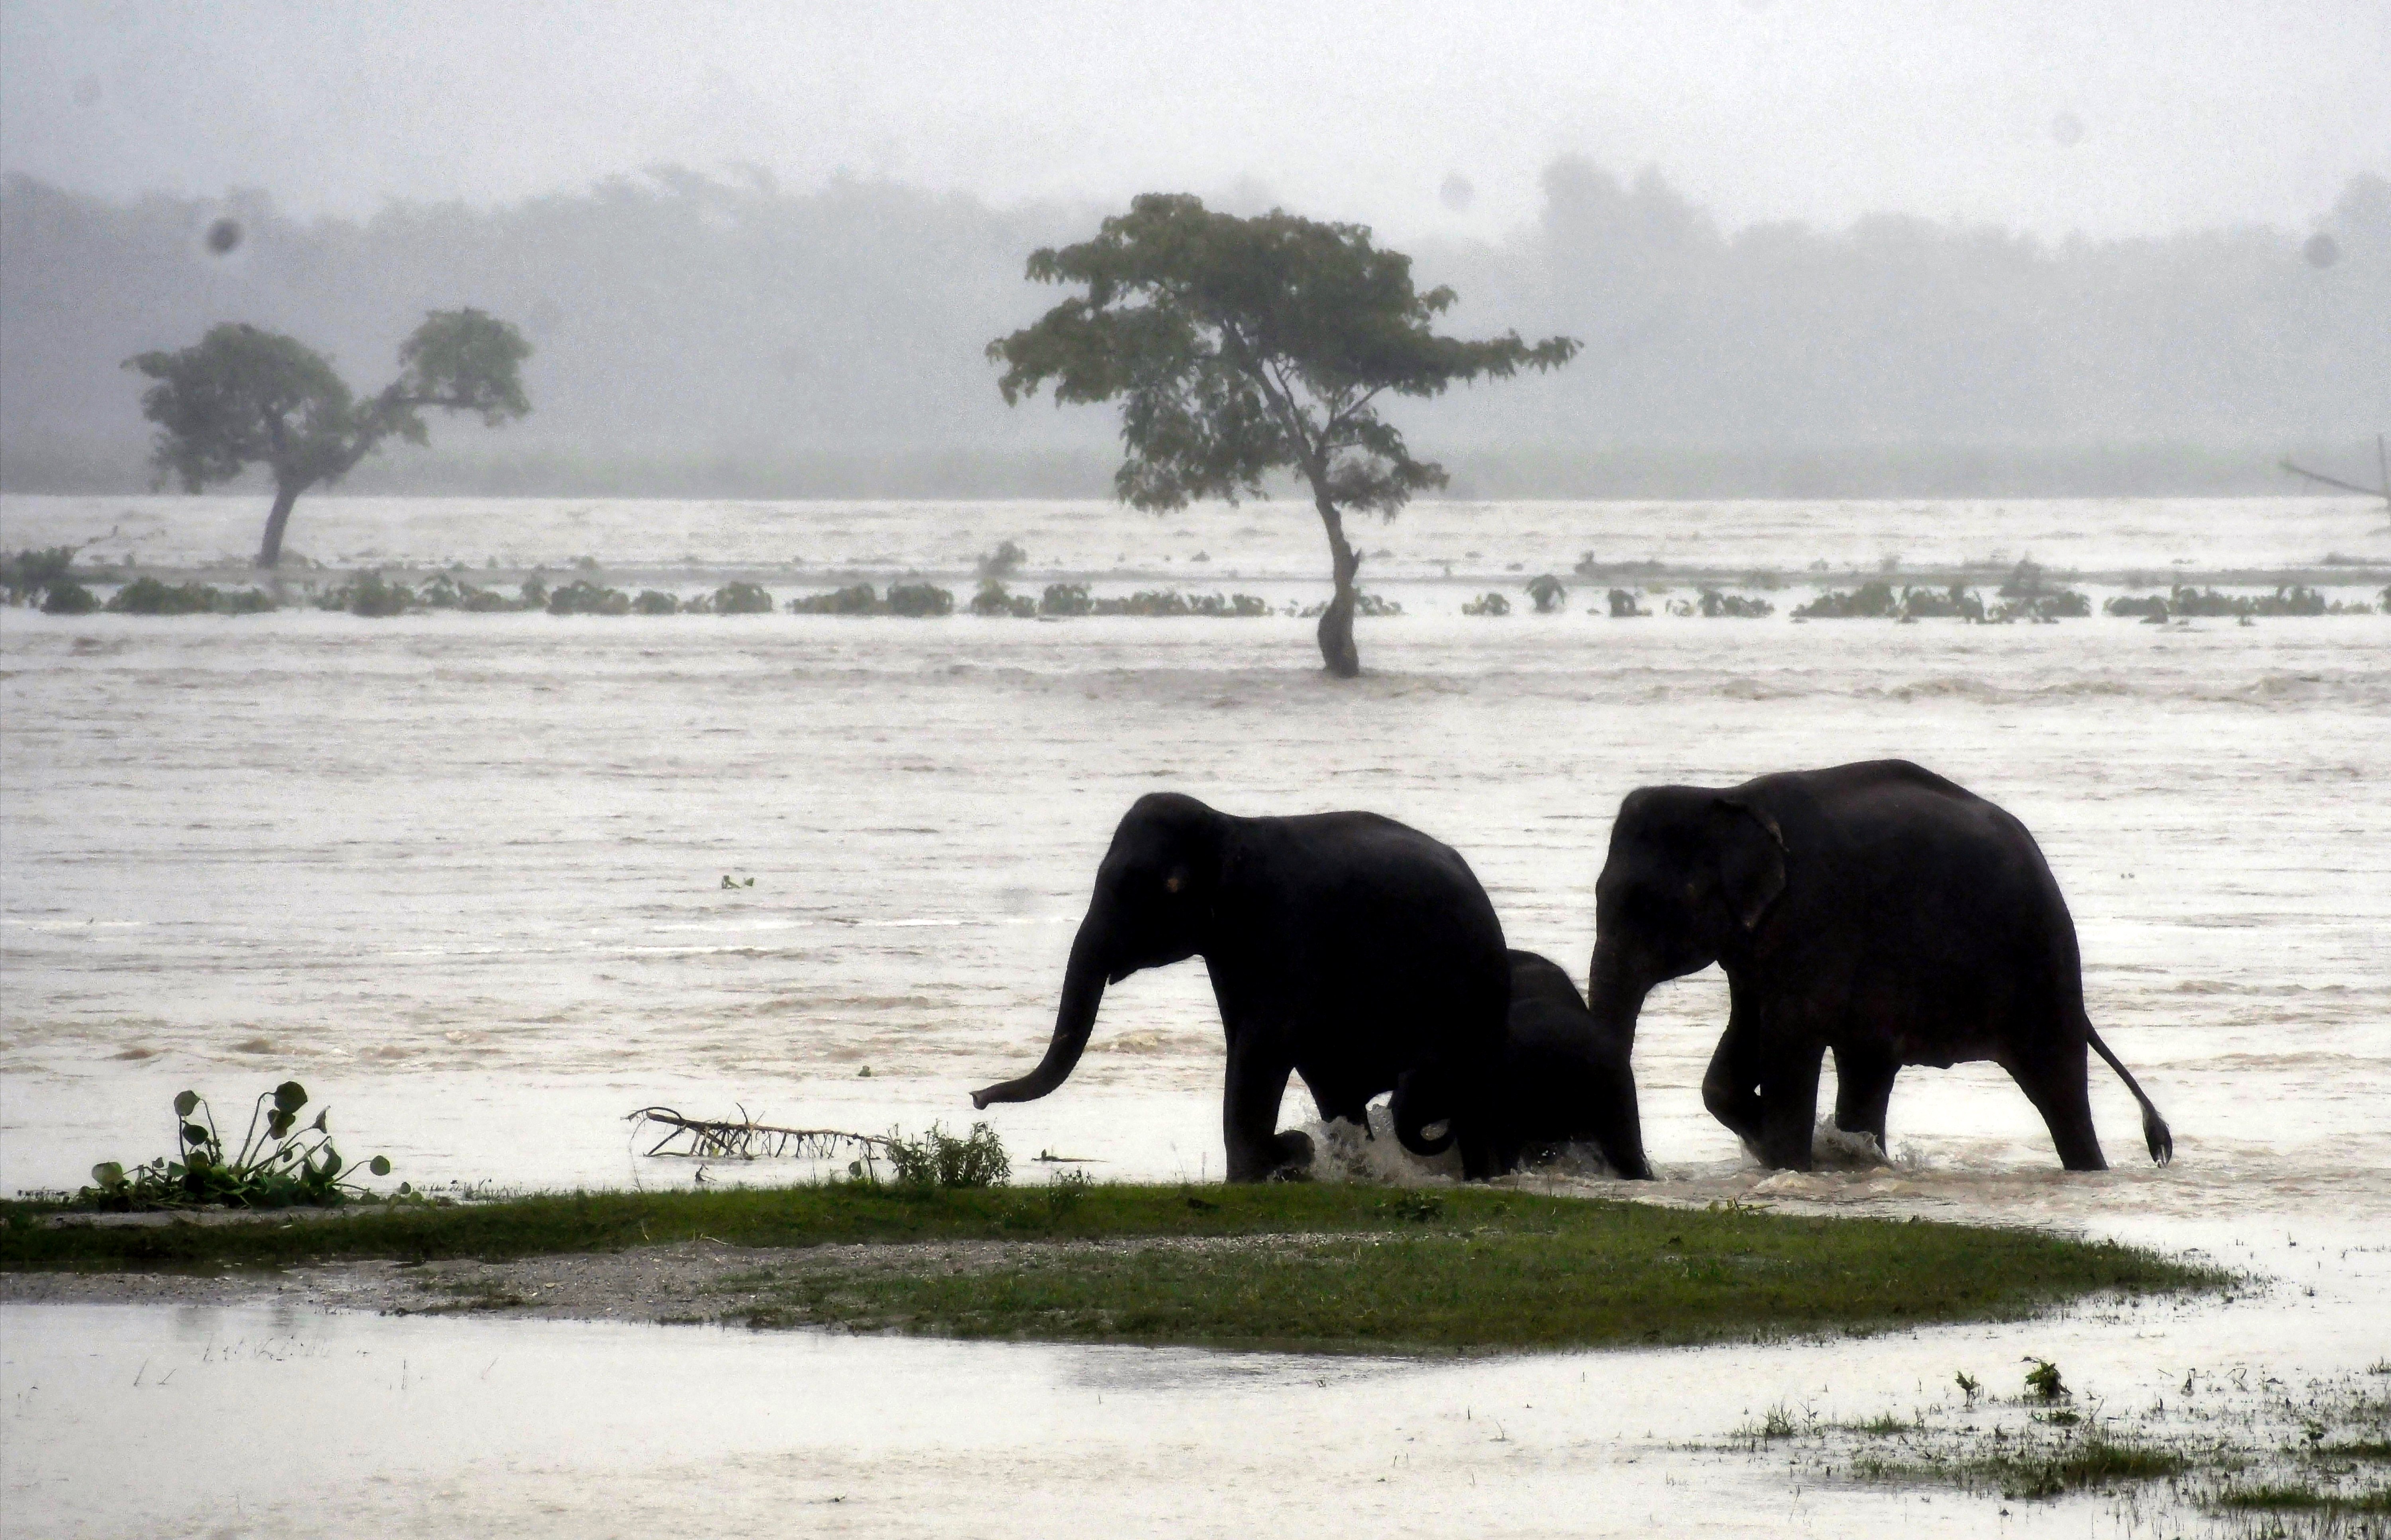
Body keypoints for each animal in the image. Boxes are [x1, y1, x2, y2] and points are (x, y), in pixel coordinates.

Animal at [970, 792, 1512, 1181]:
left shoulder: (1287, 928)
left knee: (1474, 1100)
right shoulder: (1229, 953)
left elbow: (1262, 1044)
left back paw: (1482, 1177)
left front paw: (1253, 1175)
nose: (976, 1097)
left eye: (1145, 887)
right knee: (1336, 1090)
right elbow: (1245, 1041)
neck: (1230, 826)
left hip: (1481, 997)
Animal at [1584, 759, 2173, 1172]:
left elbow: (1789, 1035)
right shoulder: (1754, 944)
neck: (1726, 797)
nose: (1643, 1171)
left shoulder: (1815, 916)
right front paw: (1794, 1150)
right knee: (1868, 1067)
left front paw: (1791, 1160)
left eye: (1645, 907)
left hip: (2040, 963)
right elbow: (1744, 1039)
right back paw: (1864, 1155)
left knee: (2057, 1084)